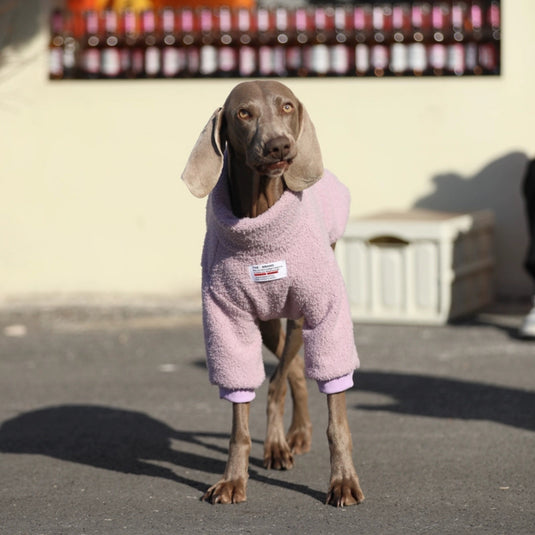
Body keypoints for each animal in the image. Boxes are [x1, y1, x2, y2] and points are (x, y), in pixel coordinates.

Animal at [181, 79, 364, 506]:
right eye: (244, 113)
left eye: (286, 107)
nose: (280, 145)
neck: (260, 219)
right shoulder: (229, 320)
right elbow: (240, 414)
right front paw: (233, 479)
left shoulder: (324, 311)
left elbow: (335, 409)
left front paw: (343, 481)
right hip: (267, 322)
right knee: (289, 369)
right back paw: (287, 440)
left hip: (297, 316)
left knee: (285, 373)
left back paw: (288, 441)